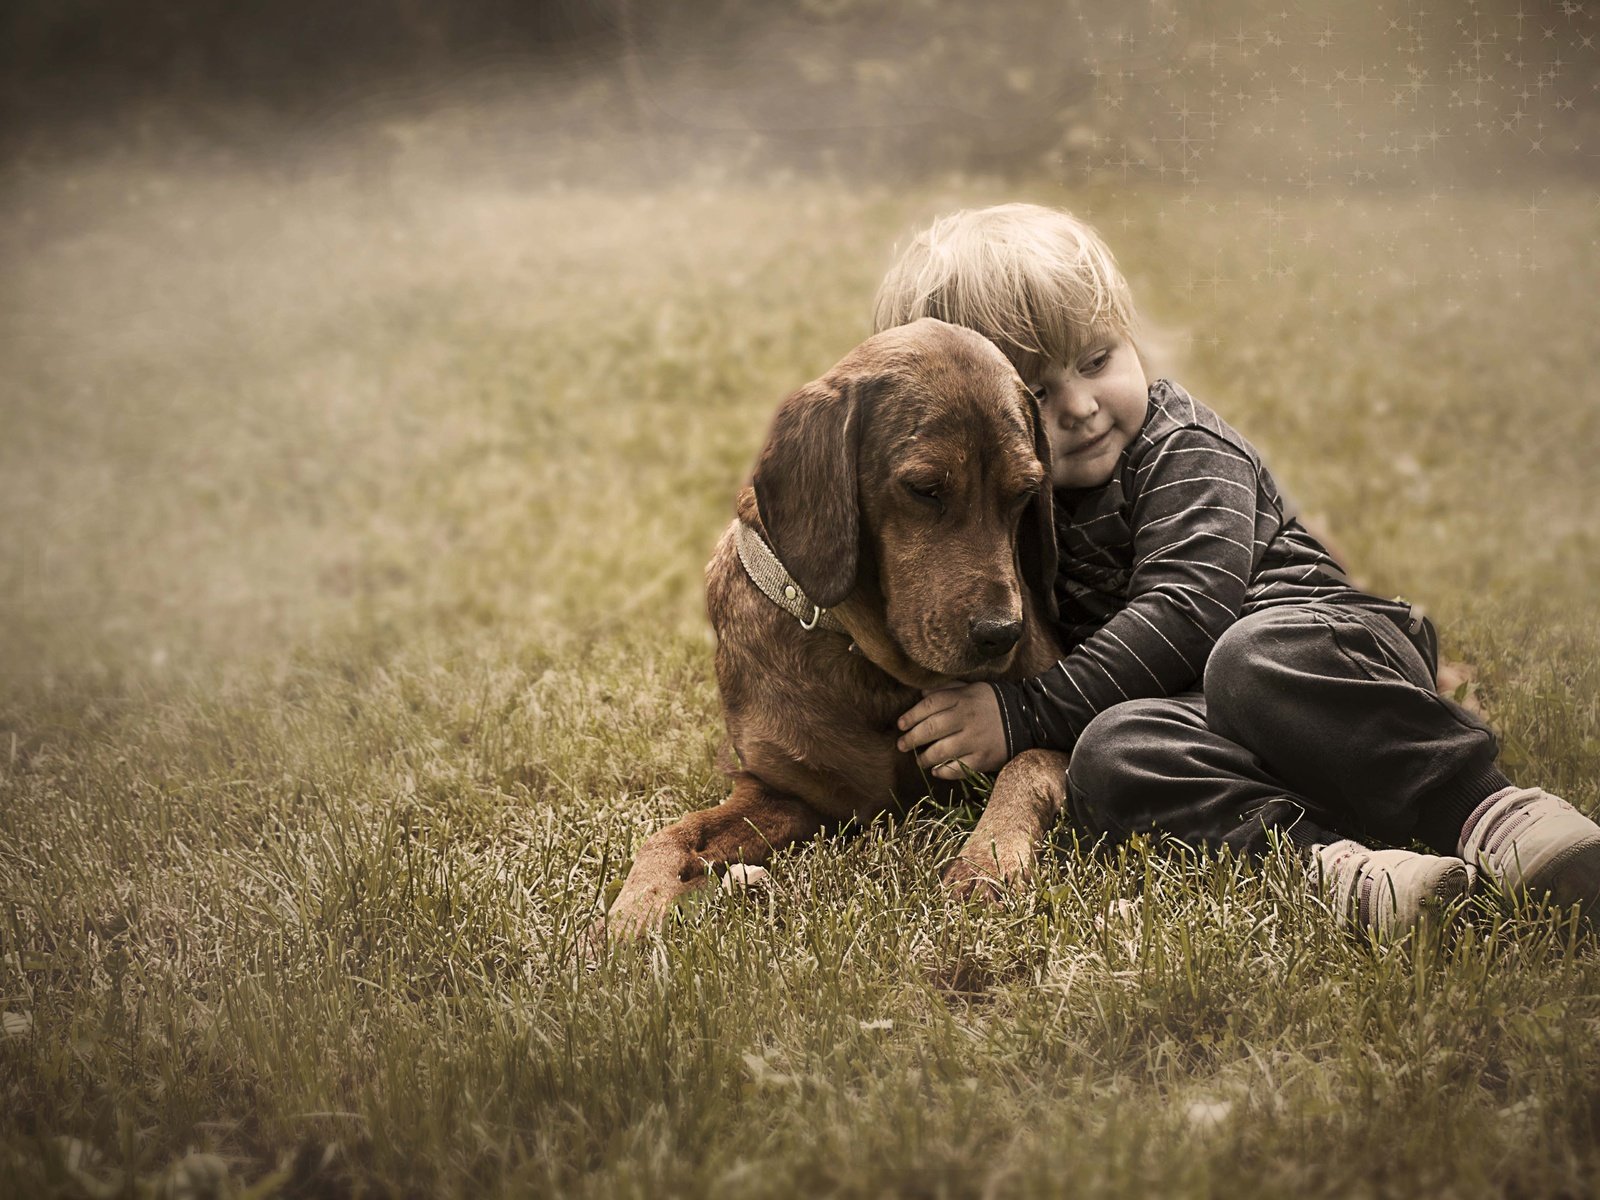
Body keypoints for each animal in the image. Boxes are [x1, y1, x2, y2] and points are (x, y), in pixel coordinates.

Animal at [604, 321, 1068, 940]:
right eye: (925, 488)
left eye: (1024, 493)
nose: (1002, 634)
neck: (874, 666)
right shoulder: (789, 795)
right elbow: (671, 835)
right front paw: (633, 908)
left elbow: (1027, 763)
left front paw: (988, 859)